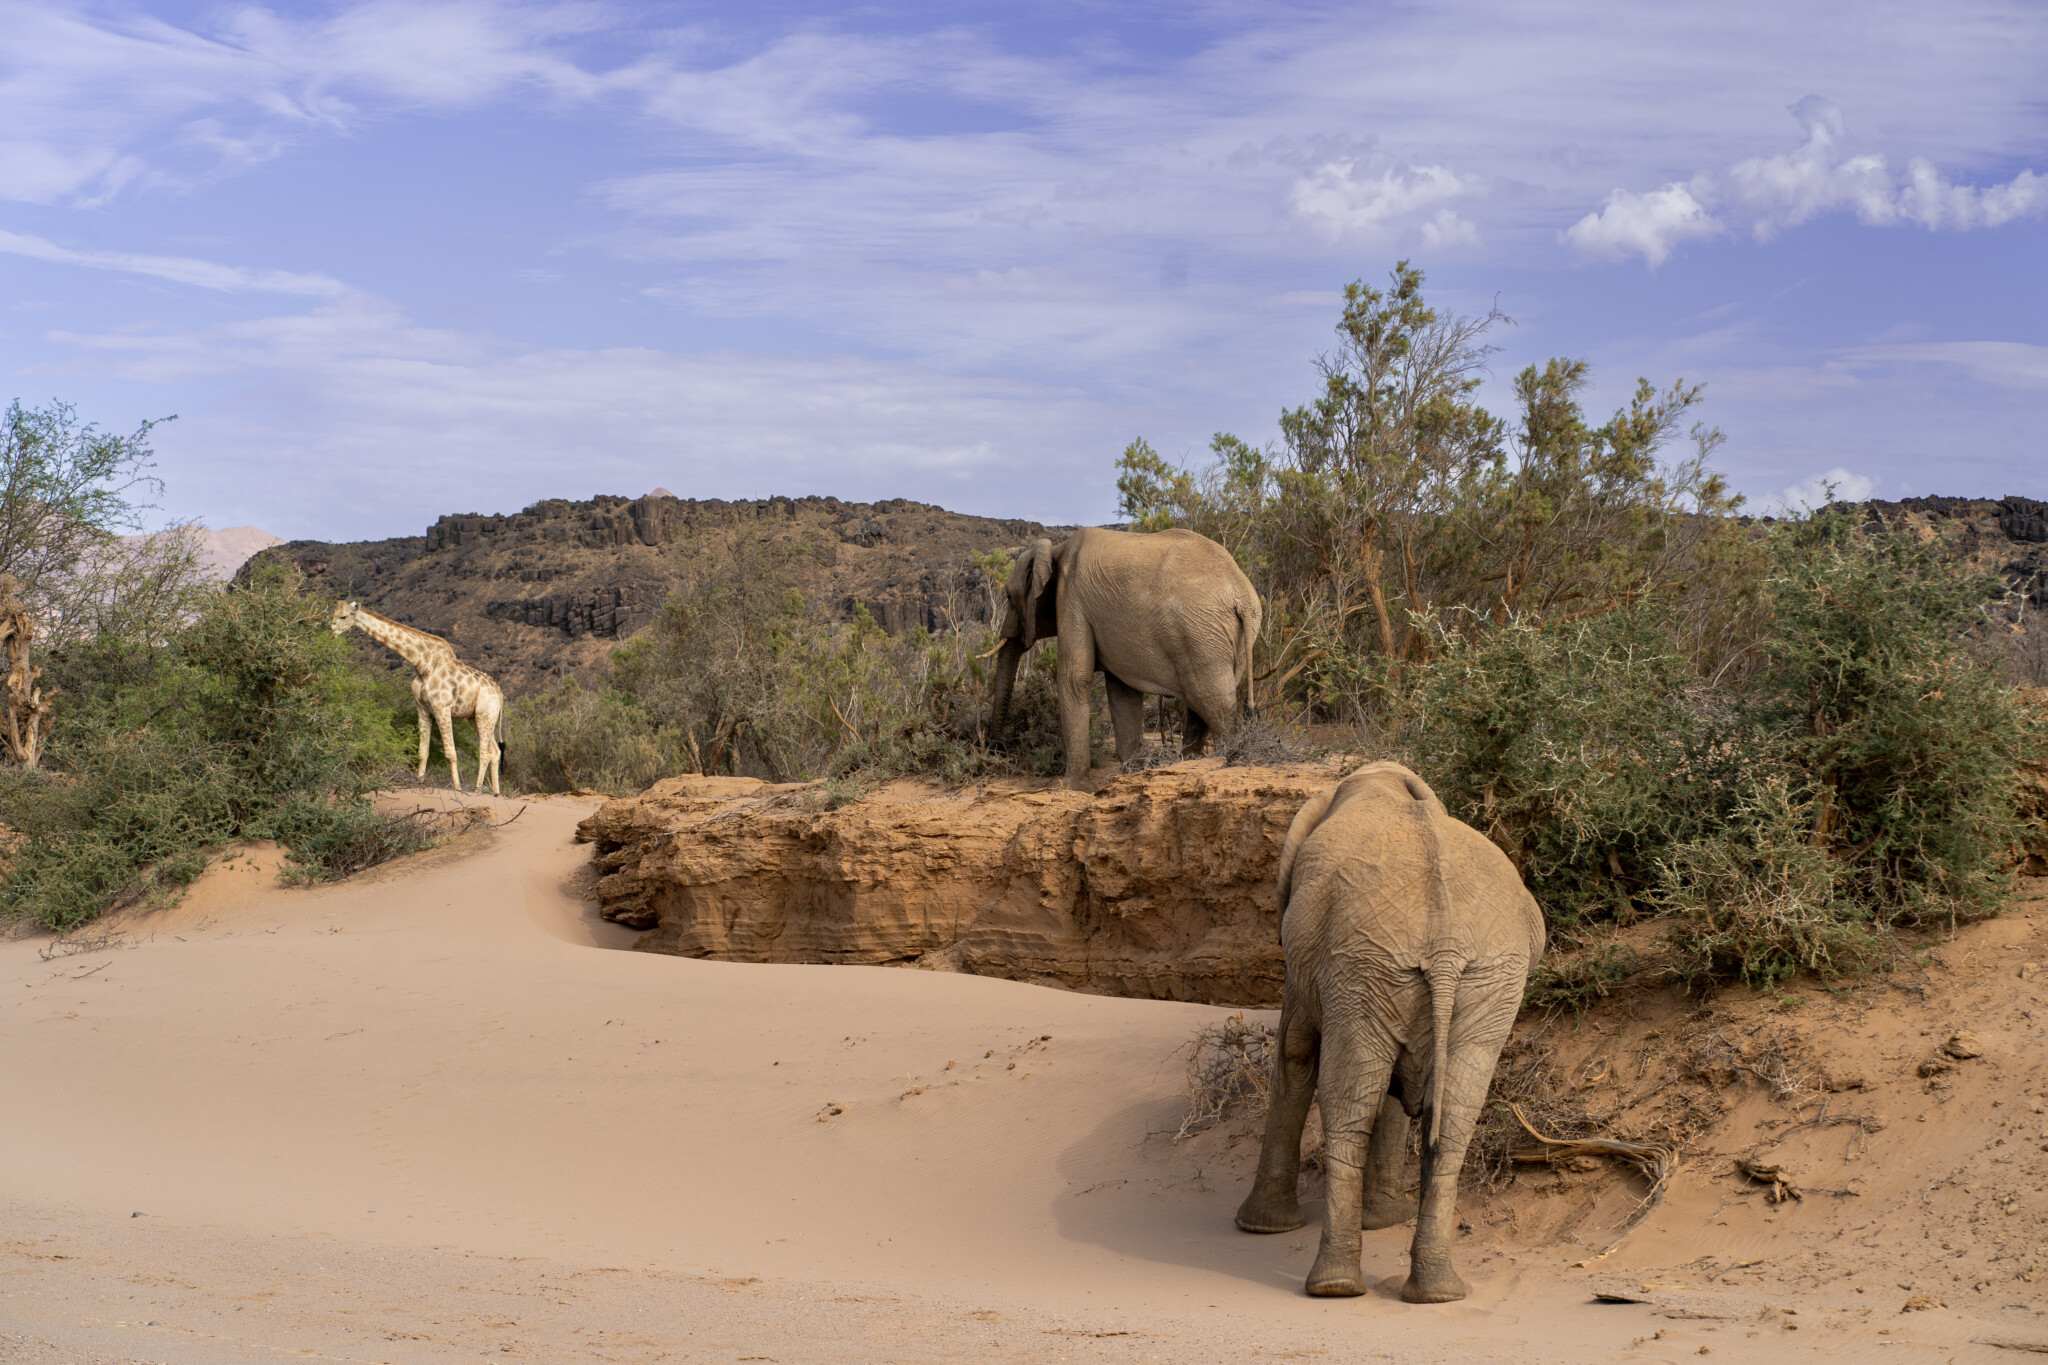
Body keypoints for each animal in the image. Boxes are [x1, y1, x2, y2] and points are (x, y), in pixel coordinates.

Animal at [331, 601, 503, 794]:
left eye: (343, 616)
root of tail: (500, 694)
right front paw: (419, 782)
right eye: (333, 614)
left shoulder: (442, 708)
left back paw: (477, 789)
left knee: (485, 752)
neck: (423, 664)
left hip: (485, 714)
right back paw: (496, 793)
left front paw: (457, 789)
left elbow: (451, 753)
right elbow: (422, 751)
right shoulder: (422, 708)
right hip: (476, 717)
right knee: (495, 751)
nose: (331, 632)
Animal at [983, 532, 1253, 789]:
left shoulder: (1071, 599)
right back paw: (1189, 763)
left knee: (1213, 705)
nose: (998, 749)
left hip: (1200, 635)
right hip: (1219, 641)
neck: (1056, 549)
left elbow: (1073, 678)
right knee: (1203, 706)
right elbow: (1122, 692)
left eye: (1008, 596)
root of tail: (1245, 596)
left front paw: (1072, 787)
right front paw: (1130, 773)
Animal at [1228, 765, 1548, 1309]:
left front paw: (1261, 1228)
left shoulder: (1313, 964)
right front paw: (1382, 1220)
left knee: (1348, 1108)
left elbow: (1295, 1052)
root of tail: (1445, 946)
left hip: (1368, 964)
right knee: (1453, 1117)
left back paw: (1333, 1288)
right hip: (1474, 976)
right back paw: (1437, 1293)